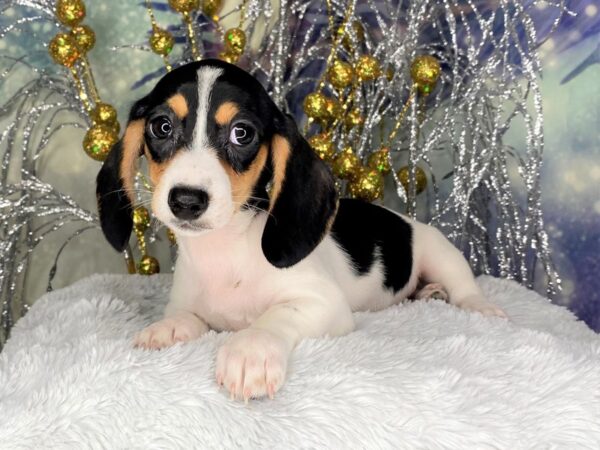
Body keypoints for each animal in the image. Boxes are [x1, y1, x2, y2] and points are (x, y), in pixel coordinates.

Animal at [95, 59, 506, 400]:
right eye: (161, 126)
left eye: (242, 133)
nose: (186, 200)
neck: (226, 252)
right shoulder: (187, 303)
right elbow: (185, 317)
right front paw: (167, 329)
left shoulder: (322, 304)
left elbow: (275, 316)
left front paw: (250, 350)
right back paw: (430, 293)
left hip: (441, 251)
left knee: (464, 286)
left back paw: (475, 304)